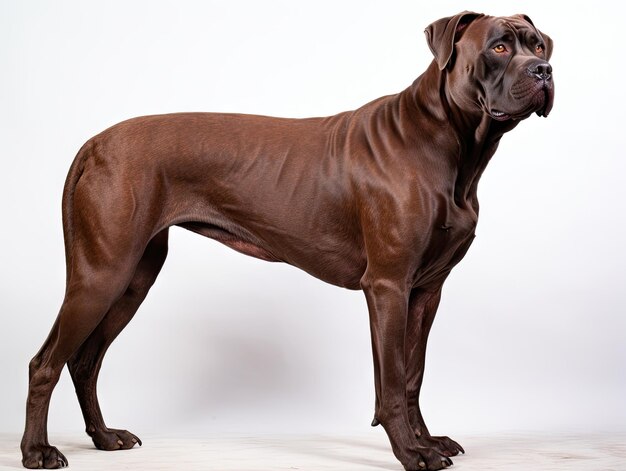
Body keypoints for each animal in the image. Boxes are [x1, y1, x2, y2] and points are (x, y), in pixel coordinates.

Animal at [19, 11, 552, 471]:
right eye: (499, 47)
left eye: (540, 45)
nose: (544, 70)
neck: (451, 145)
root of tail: (96, 143)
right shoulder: (388, 287)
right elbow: (392, 382)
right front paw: (410, 452)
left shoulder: (426, 291)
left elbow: (413, 377)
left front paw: (427, 441)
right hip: (101, 275)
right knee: (45, 362)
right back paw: (36, 451)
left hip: (134, 279)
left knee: (84, 361)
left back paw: (105, 438)